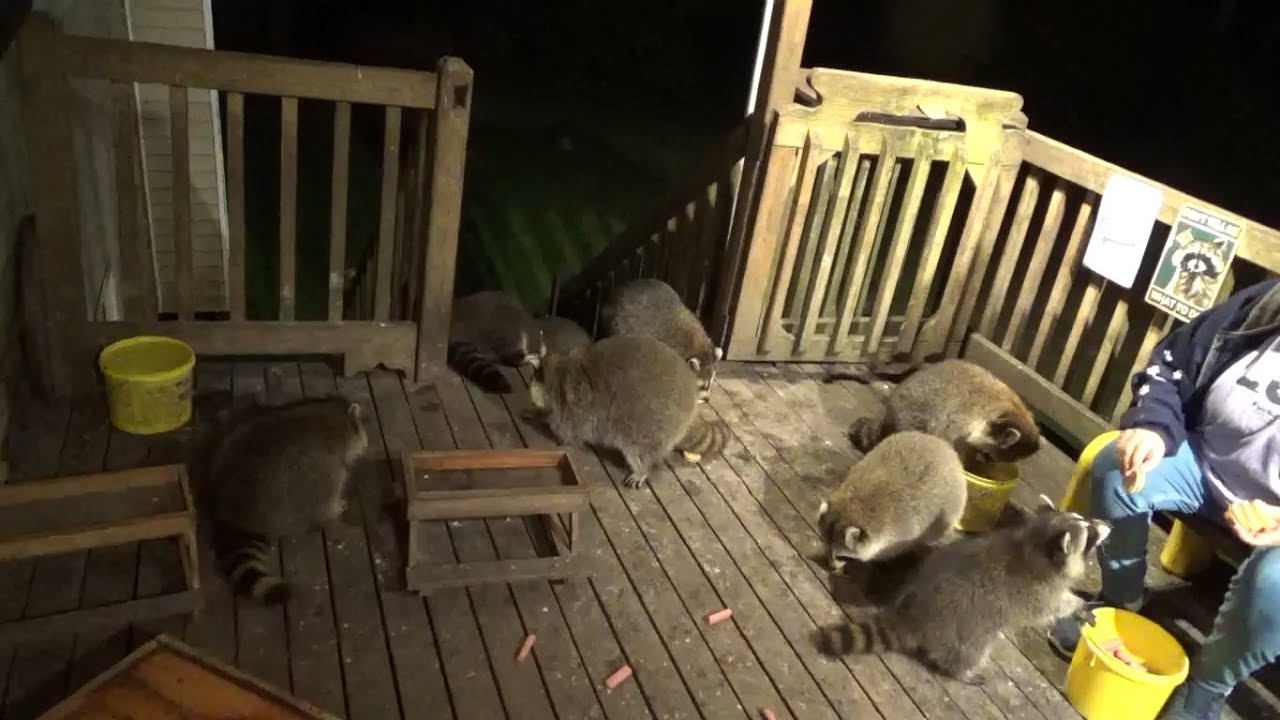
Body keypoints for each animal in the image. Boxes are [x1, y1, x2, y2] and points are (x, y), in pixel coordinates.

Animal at [208, 396, 369, 604]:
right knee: (331, 477)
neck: (332, 410)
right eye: (361, 428)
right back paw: (330, 509)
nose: (366, 443)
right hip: (294, 492)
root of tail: (228, 507)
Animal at [527, 334, 725, 488]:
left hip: (649, 421)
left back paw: (641, 469)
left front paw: (549, 426)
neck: (559, 373)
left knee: (637, 447)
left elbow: (569, 433)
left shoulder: (572, 409)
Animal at [817, 431, 967, 572]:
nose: (832, 567)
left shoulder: (905, 529)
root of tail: (943, 445)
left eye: (842, 556)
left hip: (952, 505)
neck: (856, 506)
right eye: (826, 545)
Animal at [818, 499, 1109, 684]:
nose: (1107, 524)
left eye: (1087, 522)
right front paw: (1076, 605)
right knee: (969, 651)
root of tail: (912, 615)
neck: (1034, 544)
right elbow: (1050, 608)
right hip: (968, 626)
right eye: (1090, 534)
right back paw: (961, 672)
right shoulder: (1038, 590)